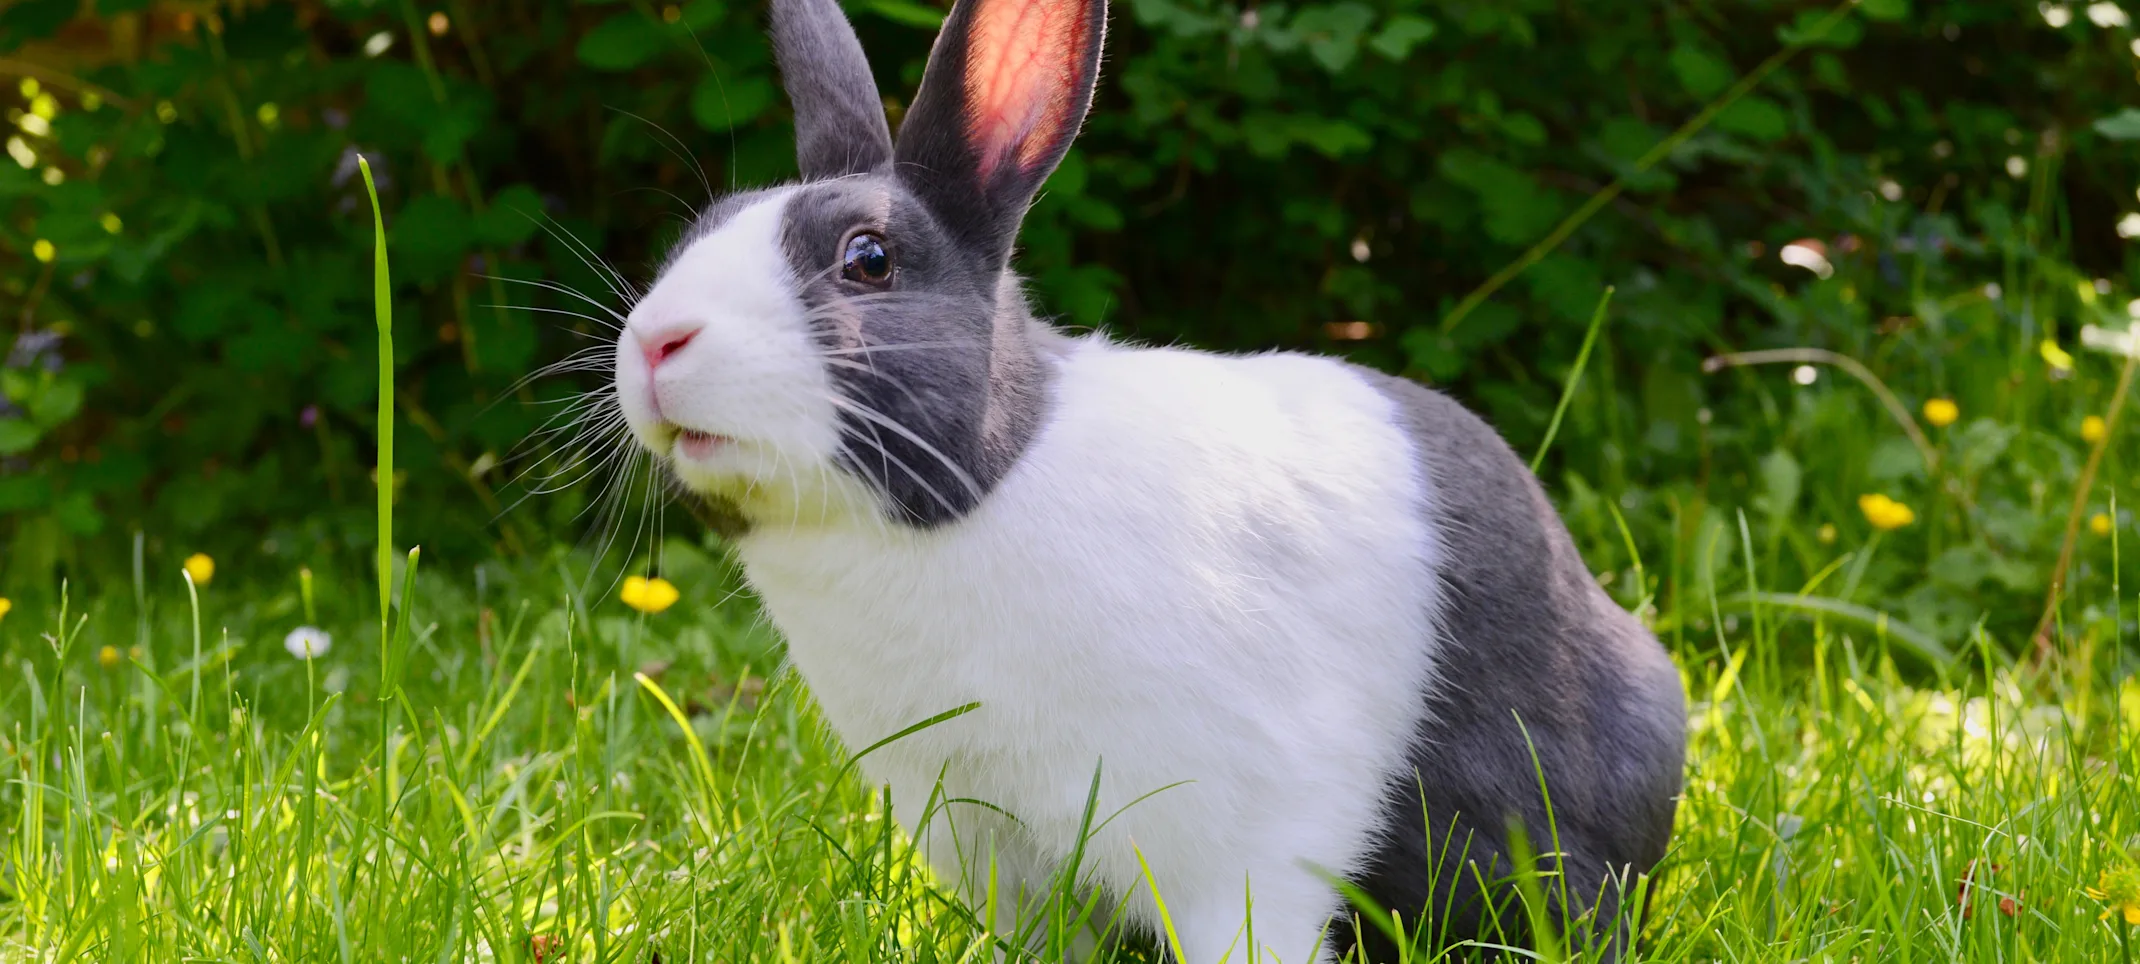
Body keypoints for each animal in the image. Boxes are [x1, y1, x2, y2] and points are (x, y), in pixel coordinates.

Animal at [612, 0, 1694, 955]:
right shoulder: (992, 846)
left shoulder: (1234, 841)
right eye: (700, 230)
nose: (656, 343)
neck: (980, 491)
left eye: (868, 259)